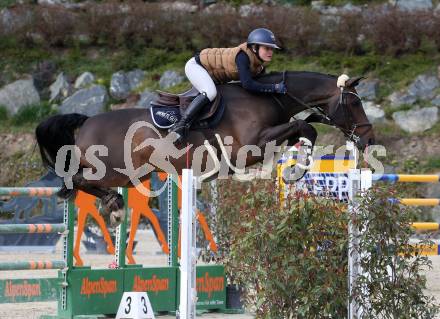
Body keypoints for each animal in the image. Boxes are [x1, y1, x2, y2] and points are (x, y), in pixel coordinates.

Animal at [36, 72, 376, 228]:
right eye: (354, 104)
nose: (368, 139)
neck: (266, 97)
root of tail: (87, 120)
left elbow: (303, 127)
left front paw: (298, 161)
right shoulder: (247, 149)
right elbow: (305, 129)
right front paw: (299, 165)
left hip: (131, 174)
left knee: (80, 182)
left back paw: (113, 205)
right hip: (115, 170)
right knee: (76, 181)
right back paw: (115, 206)